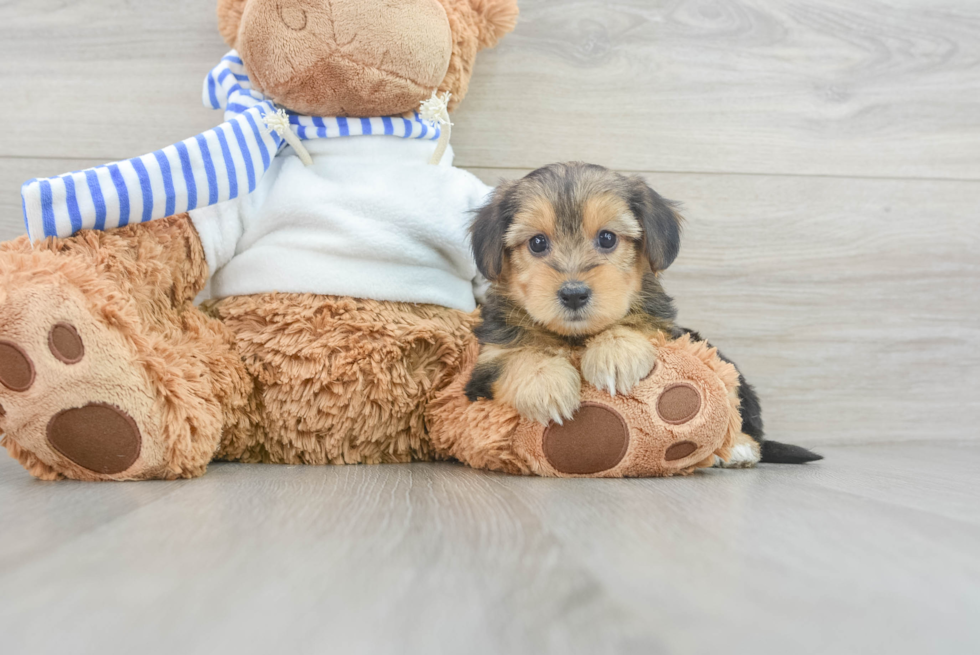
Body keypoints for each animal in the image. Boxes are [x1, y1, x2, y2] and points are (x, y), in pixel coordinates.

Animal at [464, 161, 824, 464]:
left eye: (607, 238)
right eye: (537, 243)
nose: (573, 294)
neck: (576, 337)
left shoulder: (666, 330)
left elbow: (638, 325)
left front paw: (615, 354)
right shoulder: (485, 366)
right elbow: (515, 357)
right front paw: (546, 384)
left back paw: (738, 448)